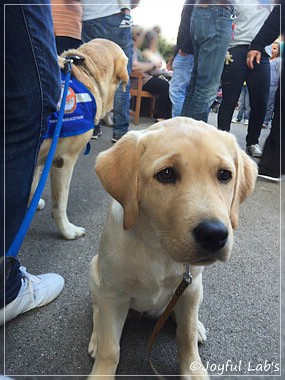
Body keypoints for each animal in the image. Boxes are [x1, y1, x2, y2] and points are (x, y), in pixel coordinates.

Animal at [87, 117, 256, 378]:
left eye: (224, 175)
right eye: (166, 174)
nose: (214, 234)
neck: (158, 248)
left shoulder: (190, 287)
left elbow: (185, 336)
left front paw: (193, 369)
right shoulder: (112, 293)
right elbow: (110, 347)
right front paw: (102, 370)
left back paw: (197, 326)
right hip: (95, 274)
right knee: (99, 313)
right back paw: (96, 337)